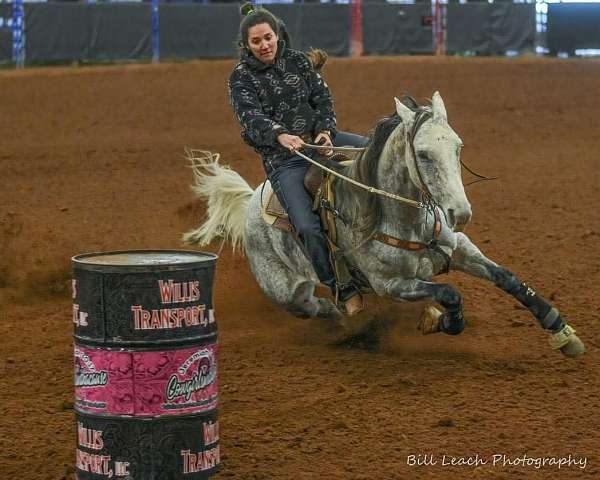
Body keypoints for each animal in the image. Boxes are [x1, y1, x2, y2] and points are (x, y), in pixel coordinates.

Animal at [185, 93, 584, 356]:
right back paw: (346, 316)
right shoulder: (391, 284)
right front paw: (438, 321)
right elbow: (450, 294)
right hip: (288, 294)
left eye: (458, 146)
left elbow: (508, 278)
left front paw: (560, 329)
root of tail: (251, 202)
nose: (460, 212)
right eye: (423, 154)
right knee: (316, 307)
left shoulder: (459, 246)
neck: (402, 217)